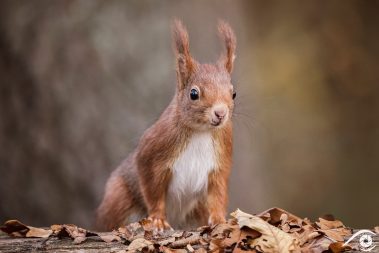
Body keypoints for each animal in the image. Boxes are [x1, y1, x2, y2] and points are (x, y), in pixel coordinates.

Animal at [96, 19, 236, 231]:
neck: (201, 132)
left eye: (233, 93)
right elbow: (152, 189)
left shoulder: (221, 161)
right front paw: (158, 219)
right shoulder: (152, 152)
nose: (221, 113)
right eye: (193, 94)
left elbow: (217, 193)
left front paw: (219, 219)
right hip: (118, 197)